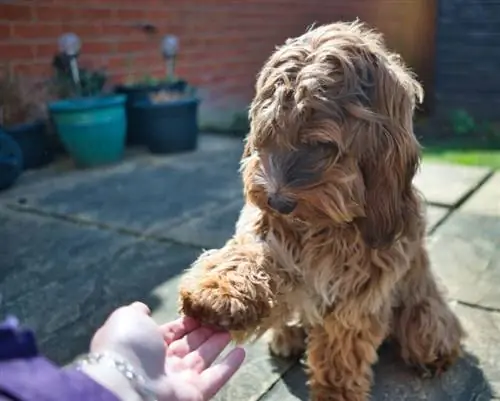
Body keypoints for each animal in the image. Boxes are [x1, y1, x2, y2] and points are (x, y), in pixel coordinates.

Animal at [178, 21, 462, 400]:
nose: (278, 201)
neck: (326, 223)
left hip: (424, 306)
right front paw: (218, 293)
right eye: (268, 133)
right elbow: (252, 250)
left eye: (321, 143)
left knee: (428, 327)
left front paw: (335, 391)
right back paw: (286, 337)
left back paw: (435, 354)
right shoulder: (273, 229)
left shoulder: (364, 284)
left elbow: (342, 343)